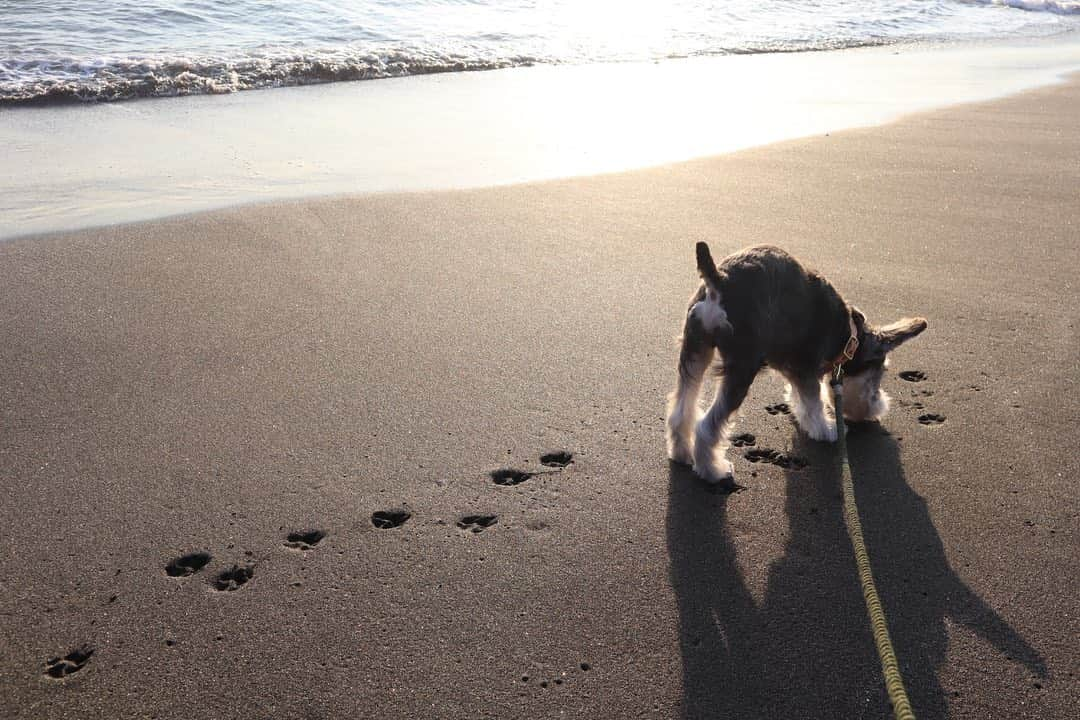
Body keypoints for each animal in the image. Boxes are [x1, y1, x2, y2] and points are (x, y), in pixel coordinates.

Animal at [665, 245, 928, 487]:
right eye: (879, 375)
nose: (877, 408)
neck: (848, 337)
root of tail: (719, 282)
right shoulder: (806, 367)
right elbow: (814, 402)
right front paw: (828, 430)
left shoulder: (794, 367)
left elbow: (802, 398)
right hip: (742, 366)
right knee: (707, 426)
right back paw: (712, 470)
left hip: (695, 349)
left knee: (681, 408)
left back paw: (682, 452)